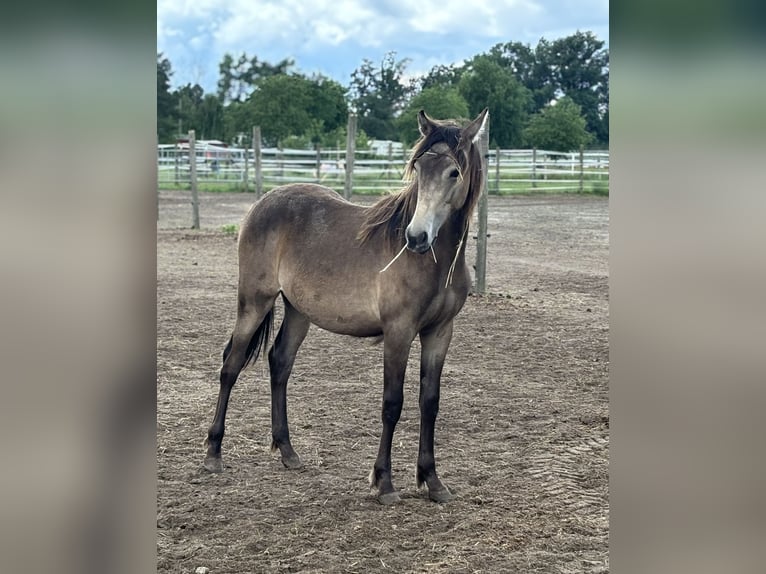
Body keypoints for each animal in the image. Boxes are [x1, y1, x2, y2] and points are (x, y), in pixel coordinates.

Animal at [204, 108, 492, 504]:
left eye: (453, 172)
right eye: (419, 168)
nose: (416, 237)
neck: (432, 262)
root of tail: (263, 202)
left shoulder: (439, 333)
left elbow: (430, 403)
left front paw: (432, 480)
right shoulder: (399, 332)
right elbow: (392, 403)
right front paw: (384, 482)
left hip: (298, 311)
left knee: (280, 363)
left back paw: (288, 451)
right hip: (254, 301)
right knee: (231, 365)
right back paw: (213, 453)